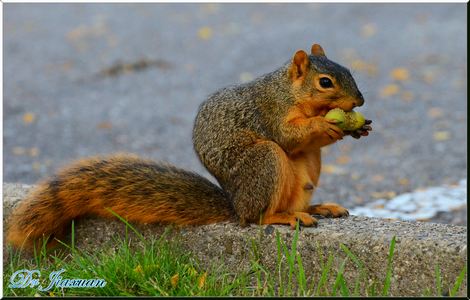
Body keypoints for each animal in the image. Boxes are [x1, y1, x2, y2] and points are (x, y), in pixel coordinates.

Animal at [4, 44, 370, 251]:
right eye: (325, 82)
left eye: (349, 71)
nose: (360, 101)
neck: (289, 91)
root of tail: (234, 205)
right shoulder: (269, 112)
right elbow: (288, 136)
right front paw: (326, 124)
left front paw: (358, 128)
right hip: (264, 162)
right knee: (256, 216)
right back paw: (282, 216)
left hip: (308, 168)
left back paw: (317, 208)